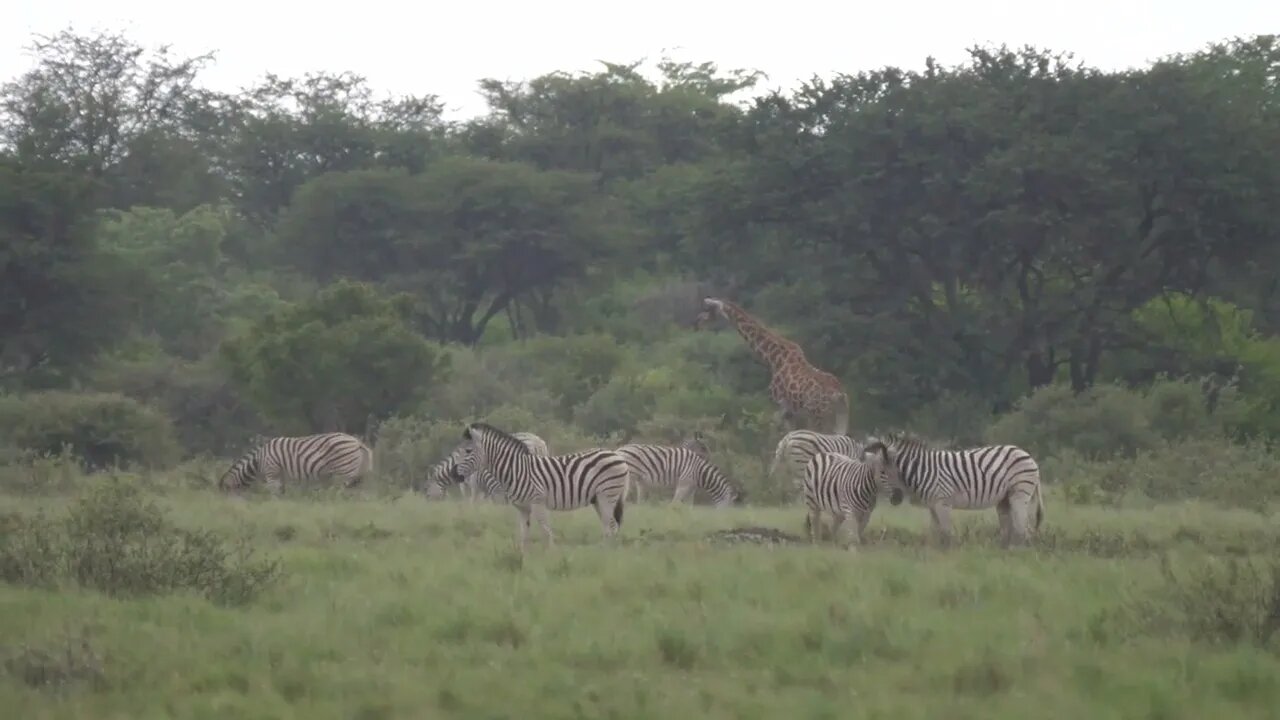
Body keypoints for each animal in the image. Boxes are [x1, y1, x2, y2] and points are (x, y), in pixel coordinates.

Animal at [217, 427, 371, 489]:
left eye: (225, 493)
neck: (259, 460)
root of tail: (357, 442)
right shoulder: (281, 475)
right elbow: (282, 492)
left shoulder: (271, 472)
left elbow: (274, 494)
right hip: (357, 473)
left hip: (345, 470)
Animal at [455, 420, 629, 548]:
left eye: (468, 451)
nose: (455, 475)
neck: (516, 470)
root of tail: (617, 455)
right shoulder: (522, 508)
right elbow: (524, 536)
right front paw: (524, 561)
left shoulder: (538, 502)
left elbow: (546, 533)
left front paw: (551, 559)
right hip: (598, 499)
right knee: (609, 526)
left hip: (607, 495)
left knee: (612, 526)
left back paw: (606, 557)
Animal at [616, 440, 747, 507]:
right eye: (730, 506)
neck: (700, 473)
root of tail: (620, 449)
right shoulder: (684, 483)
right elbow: (675, 503)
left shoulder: (692, 487)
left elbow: (690, 505)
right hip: (629, 476)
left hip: (637, 479)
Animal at [691, 295, 849, 435]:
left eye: (710, 309)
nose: (697, 322)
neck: (773, 359)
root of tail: (839, 395)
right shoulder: (789, 411)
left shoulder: (780, 406)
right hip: (839, 418)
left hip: (818, 415)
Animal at [865, 430, 1044, 543]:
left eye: (885, 471)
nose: (897, 498)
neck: (921, 469)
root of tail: (1027, 455)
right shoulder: (932, 505)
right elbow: (936, 532)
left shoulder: (942, 502)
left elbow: (946, 533)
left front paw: (948, 555)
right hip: (1005, 498)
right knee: (1013, 528)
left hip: (1019, 493)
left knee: (1023, 529)